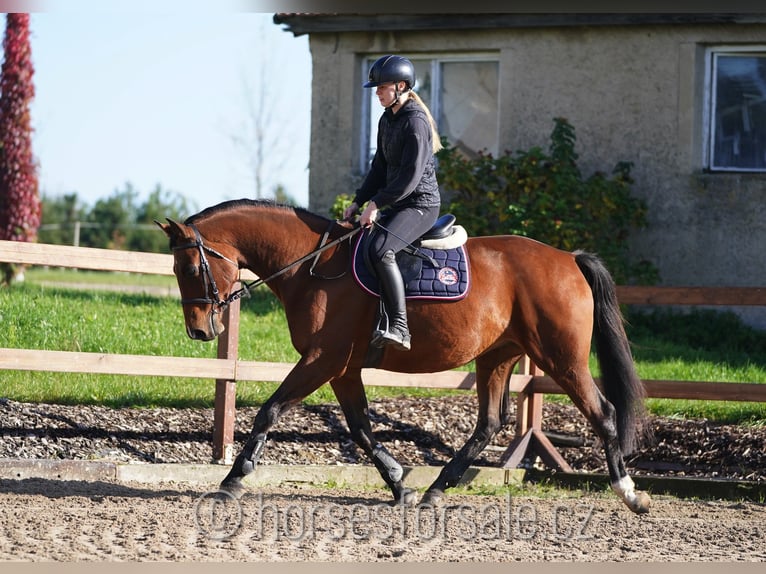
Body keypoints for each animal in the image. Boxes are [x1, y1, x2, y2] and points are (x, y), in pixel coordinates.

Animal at [157, 198, 651, 514]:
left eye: (191, 267)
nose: (199, 330)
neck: (312, 265)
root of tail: (568, 258)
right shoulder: (343, 368)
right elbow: (360, 427)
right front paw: (399, 485)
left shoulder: (322, 360)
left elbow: (270, 409)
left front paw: (232, 480)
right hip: (498, 356)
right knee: (489, 423)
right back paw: (434, 490)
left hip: (560, 358)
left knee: (604, 413)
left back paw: (629, 493)